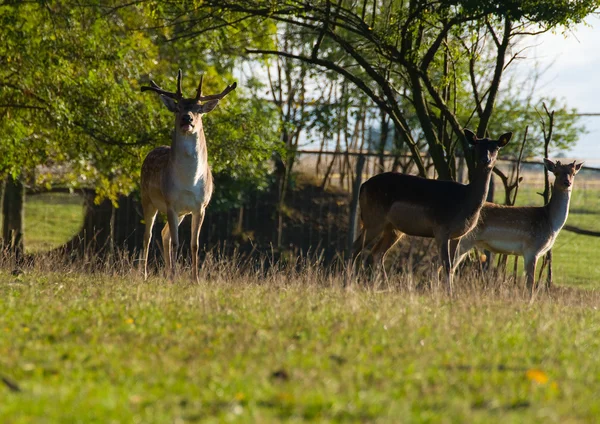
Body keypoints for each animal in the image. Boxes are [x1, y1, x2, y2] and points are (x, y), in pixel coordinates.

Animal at [140, 69, 237, 282]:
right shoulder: (171, 203)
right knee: (148, 236)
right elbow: (177, 242)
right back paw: (144, 274)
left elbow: (194, 244)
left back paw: (167, 273)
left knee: (164, 233)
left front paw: (195, 279)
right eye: (178, 108)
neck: (189, 181)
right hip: (148, 200)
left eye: (199, 109)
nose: (187, 118)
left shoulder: (200, 206)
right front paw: (176, 276)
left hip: (182, 213)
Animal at [352, 129, 510, 294]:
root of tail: (363, 185)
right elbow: (446, 264)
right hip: (374, 219)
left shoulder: (457, 235)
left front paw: (449, 292)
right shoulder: (441, 229)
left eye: (496, 147)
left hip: (393, 228)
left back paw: (384, 288)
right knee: (355, 248)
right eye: (477, 146)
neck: (465, 203)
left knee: (377, 253)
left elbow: (451, 266)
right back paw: (349, 283)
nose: (486, 159)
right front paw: (449, 294)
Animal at [452, 158, 584, 294]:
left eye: (573, 173)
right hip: (464, 240)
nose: (567, 183)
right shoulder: (532, 249)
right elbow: (530, 285)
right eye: (556, 173)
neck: (551, 223)